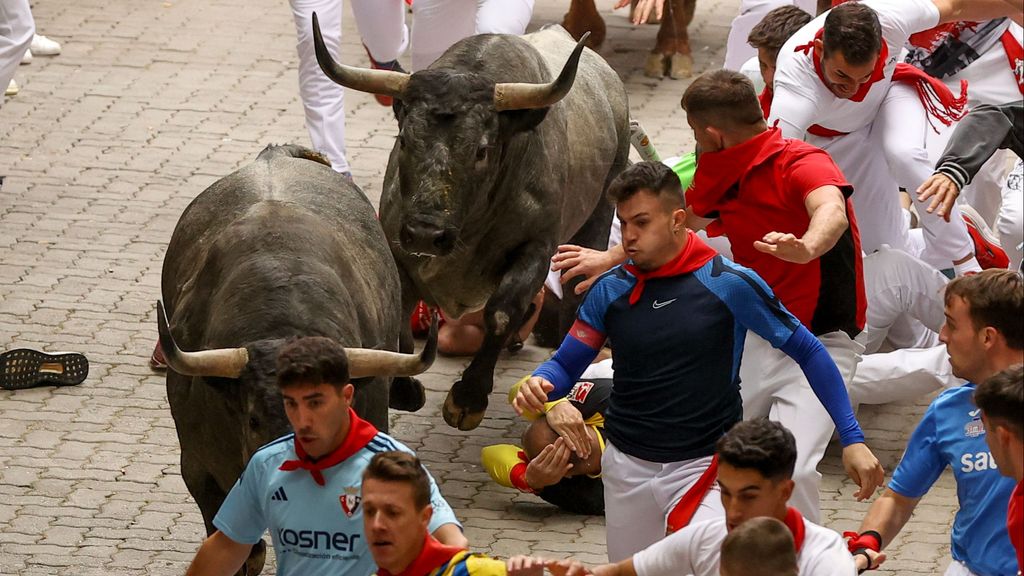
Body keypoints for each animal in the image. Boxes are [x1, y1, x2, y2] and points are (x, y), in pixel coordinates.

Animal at [313, 15, 630, 428]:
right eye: (405, 139)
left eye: (481, 150)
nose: (426, 234)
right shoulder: (395, 244)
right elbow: (398, 308)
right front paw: (402, 387)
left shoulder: (537, 249)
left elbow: (501, 313)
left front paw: (468, 398)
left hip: (596, 217)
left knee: (577, 291)